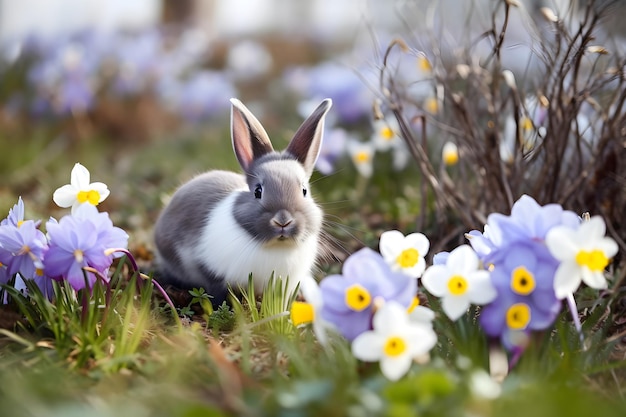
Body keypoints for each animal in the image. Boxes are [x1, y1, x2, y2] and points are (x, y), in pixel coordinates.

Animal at [154, 97, 332, 306]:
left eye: (304, 191)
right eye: (258, 191)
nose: (283, 221)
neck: (275, 246)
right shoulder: (209, 270)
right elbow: (216, 293)